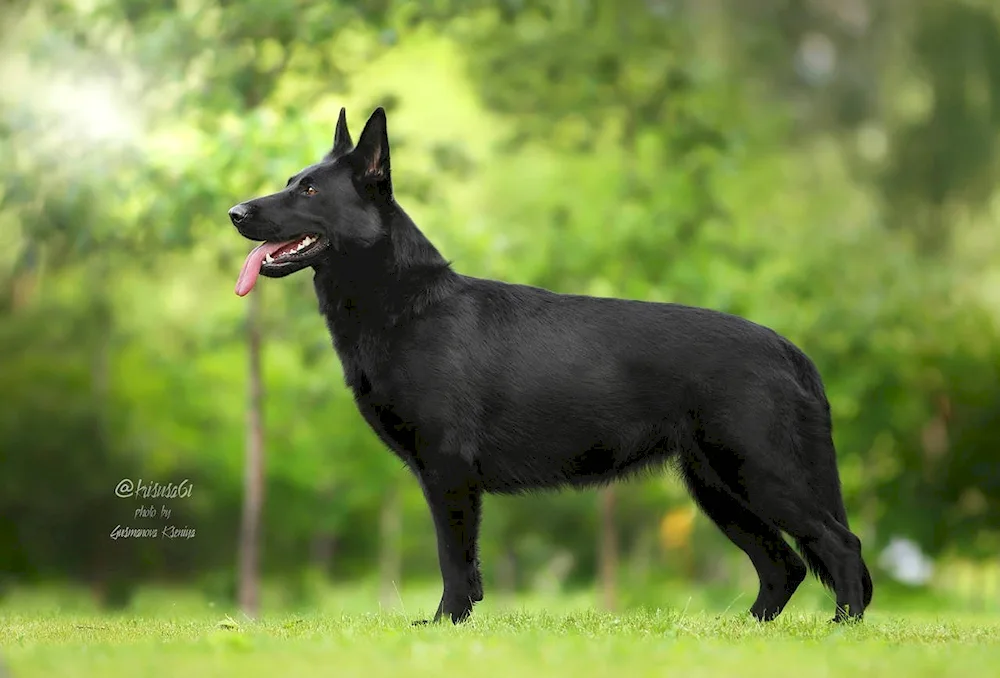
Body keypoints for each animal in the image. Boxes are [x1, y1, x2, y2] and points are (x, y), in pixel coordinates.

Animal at [230, 105, 872, 628]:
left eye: (310, 191)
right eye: (290, 184)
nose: (235, 212)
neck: (404, 303)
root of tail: (786, 348)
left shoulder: (448, 471)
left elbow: (453, 561)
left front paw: (444, 627)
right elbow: (466, 568)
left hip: (759, 471)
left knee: (840, 545)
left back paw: (842, 629)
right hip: (717, 486)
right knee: (784, 565)